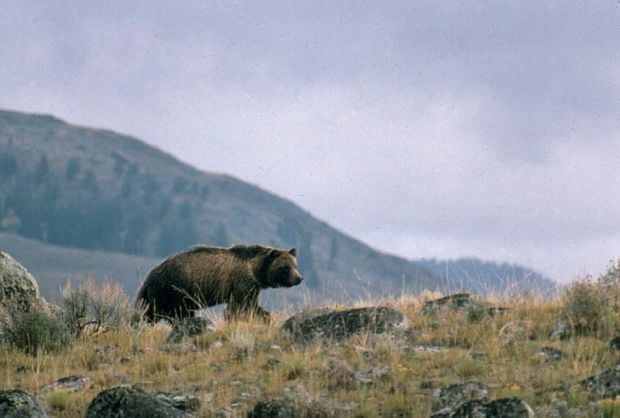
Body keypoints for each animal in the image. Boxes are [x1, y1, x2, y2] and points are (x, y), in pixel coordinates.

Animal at [136, 247, 302, 322]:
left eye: (295, 265)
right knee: (175, 313)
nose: (299, 278)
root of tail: (150, 275)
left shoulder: (252, 288)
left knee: (147, 313)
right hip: (174, 290)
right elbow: (240, 306)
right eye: (285, 267)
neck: (255, 271)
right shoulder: (241, 283)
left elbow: (251, 305)